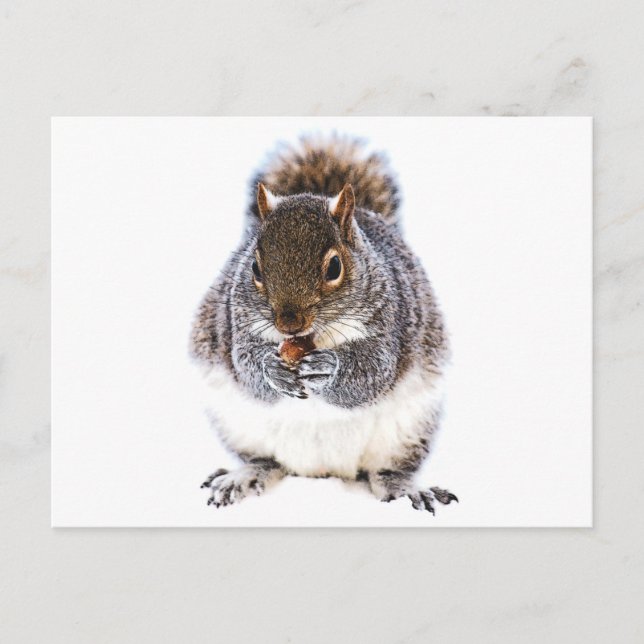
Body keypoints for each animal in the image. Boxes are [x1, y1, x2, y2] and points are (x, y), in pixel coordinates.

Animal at [191, 136, 457, 514]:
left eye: (334, 267)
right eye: (254, 267)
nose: (288, 323)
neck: (311, 337)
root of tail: (322, 471)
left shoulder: (391, 324)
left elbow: (372, 374)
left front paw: (328, 368)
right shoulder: (236, 326)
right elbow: (246, 367)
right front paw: (272, 369)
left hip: (408, 429)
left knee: (387, 470)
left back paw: (406, 489)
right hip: (238, 425)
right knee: (266, 461)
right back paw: (244, 476)